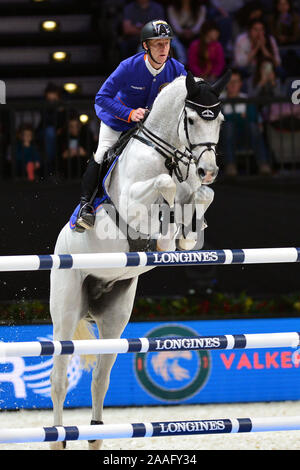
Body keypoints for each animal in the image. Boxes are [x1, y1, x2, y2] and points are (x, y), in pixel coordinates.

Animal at [50, 69, 231, 448]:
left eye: (220, 120)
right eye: (191, 119)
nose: (208, 169)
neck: (169, 153)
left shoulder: (194, 190)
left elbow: (201, 198)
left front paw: (184, 231)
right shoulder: (135, 201)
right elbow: (163, 185)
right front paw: (164, 233)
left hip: (114, 316)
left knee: (100, 380)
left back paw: (95, 436)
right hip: (66, 309)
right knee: (58, 379)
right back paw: (58, 438)